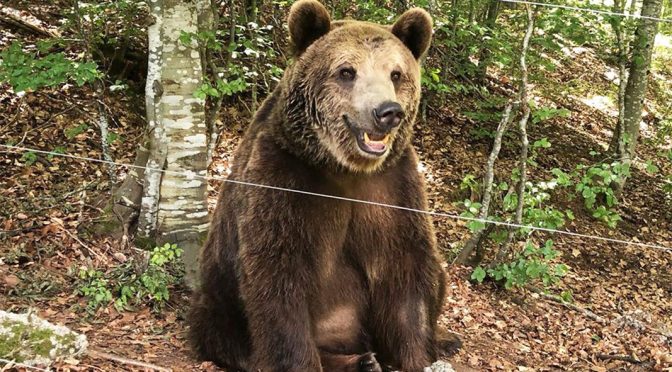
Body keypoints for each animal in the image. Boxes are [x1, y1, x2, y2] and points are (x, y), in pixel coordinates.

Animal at [188, 1, 456, 370]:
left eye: (396, 74)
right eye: (347, 71)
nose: (387, 112)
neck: (344, 169)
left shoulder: (393, 188)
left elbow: (408, 273)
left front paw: (419, 357)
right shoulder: (284, 180)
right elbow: (278, 282)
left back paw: (441, 341)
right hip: (219, 292)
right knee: (222, 329)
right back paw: (360, 361)